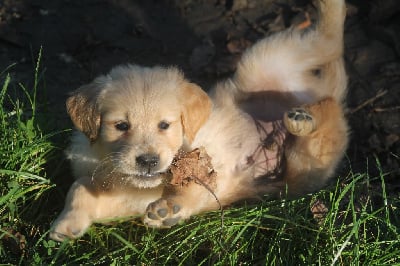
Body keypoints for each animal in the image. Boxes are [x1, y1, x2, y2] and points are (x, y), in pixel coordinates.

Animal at [49, 65, 212, 241]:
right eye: (121, 125)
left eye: (164, 125)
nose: (148, 161)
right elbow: (80, 185)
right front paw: (67, 222)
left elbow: (194, 182)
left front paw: (168, 208)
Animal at [143, 0, 346, 228]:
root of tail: (319, 91)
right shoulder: (207, 185)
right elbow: (187, 192)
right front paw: (167, 211)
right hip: (303, 165)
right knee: (328, 106)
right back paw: (303, 119)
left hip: (266, 60)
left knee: (332, 40)